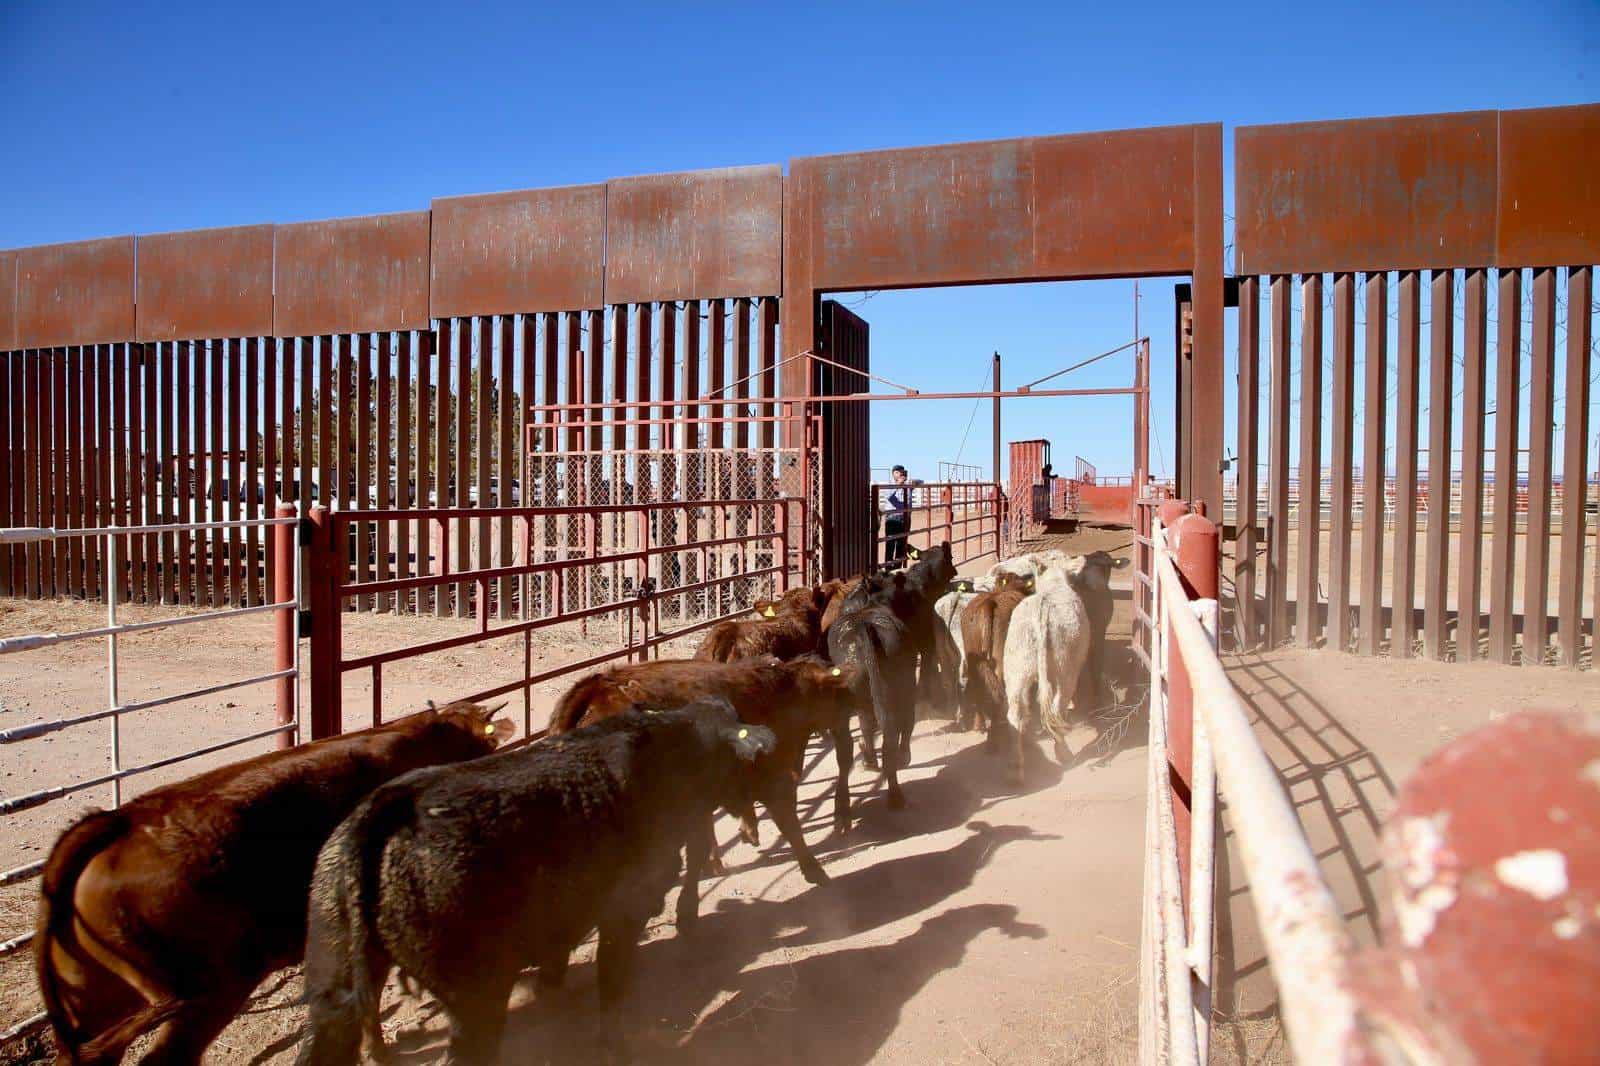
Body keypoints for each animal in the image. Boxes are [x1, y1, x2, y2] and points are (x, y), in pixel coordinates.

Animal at [953, 573, 1030, 739]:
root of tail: (989, 602)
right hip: (1001, 656)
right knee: (999, 681)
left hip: (973, 658)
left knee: (977, 684)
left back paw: (980, 725)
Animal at [1004, 563, 1094, 781]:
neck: (1054, 584)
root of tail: (1041, 609)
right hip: (1065, 667)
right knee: (1056, 708)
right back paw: (1063, 753)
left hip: (1016, 667)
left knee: (1015, 713)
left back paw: (1015, 770)